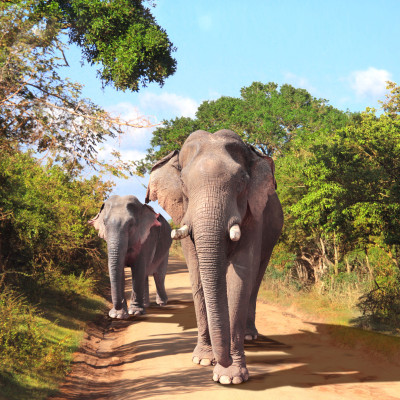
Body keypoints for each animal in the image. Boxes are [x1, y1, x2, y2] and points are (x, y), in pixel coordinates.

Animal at [147, 130, 284, 382]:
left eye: (242, 181)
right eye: (183, 184)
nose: (224, 359)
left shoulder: (254, 215)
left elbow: (240, 276)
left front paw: (230, 377)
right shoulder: (185, 217)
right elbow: (197, 274)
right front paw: (202, 360)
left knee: (256, 279)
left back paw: (249, 336)